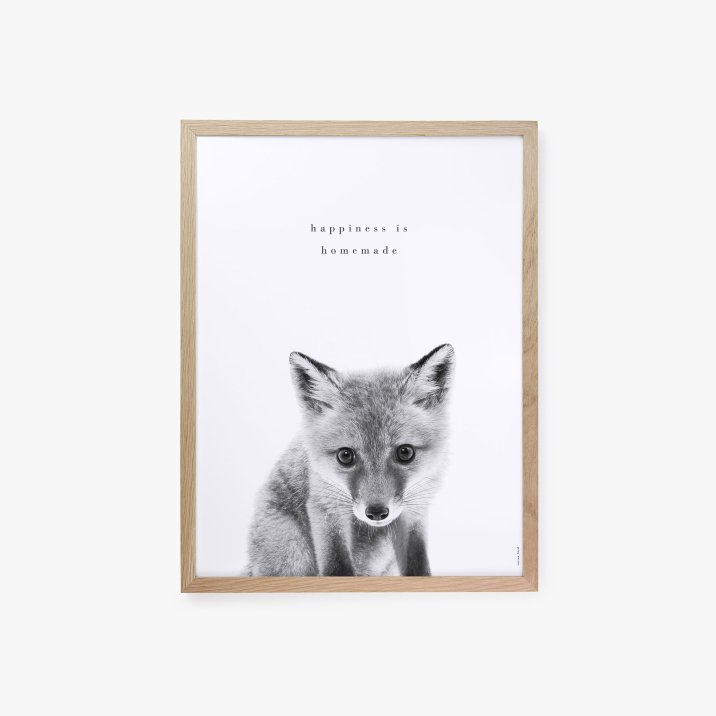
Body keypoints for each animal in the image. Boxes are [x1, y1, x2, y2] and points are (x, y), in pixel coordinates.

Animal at [246, 344, 455, 577]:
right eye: (345, 456)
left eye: (405, 453)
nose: (376, 513)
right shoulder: (325, 505)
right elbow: (337, 566)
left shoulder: (415, 511)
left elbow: (418, 566)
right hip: (292, 553)